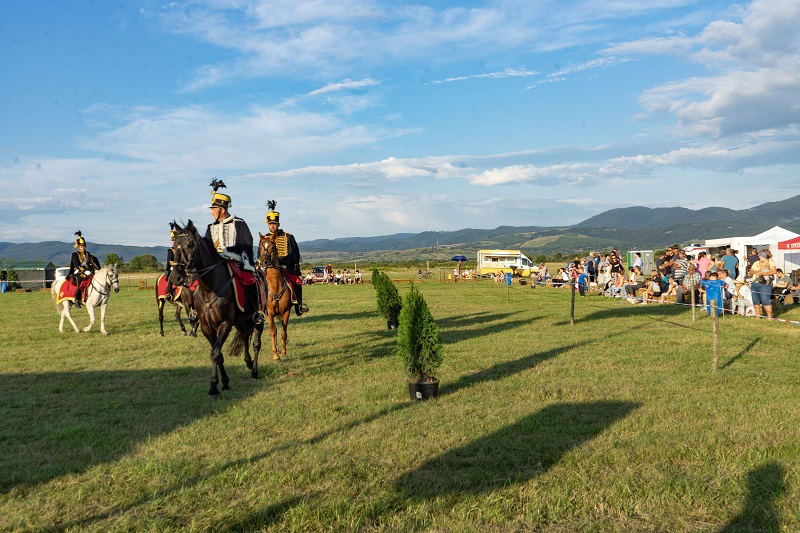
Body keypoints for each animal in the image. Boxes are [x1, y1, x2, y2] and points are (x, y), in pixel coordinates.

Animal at [170, 220, 264, 394]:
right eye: (174, 245)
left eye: (190, 244)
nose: (175, 277)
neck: (209, 290)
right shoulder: (206, 327)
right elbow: (218, 354)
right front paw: (224, 382)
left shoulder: (224, 324)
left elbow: (215, 353)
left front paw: (213, 386)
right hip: (240, 321)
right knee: (244, 336)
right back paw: (248, 362)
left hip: (257, 318)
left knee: (256, 343)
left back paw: (254, 370)